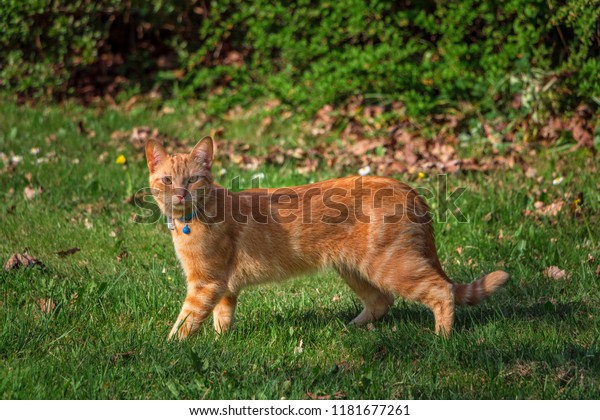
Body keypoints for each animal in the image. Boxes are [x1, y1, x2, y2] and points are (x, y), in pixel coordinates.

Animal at [145, 136, 506, 340]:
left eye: (192, 180)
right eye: (167, 180)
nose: (179, 195)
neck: (195, 215)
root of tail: (408, 188)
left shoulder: (206, 283)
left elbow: (186, 322)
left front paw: (169, 348)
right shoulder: (223, 287)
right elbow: (222, 319)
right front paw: (221, 344)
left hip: (391, 265)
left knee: (441, 290)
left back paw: (441, 338)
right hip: (355, 269)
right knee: (381, 302)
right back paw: (348, 330)